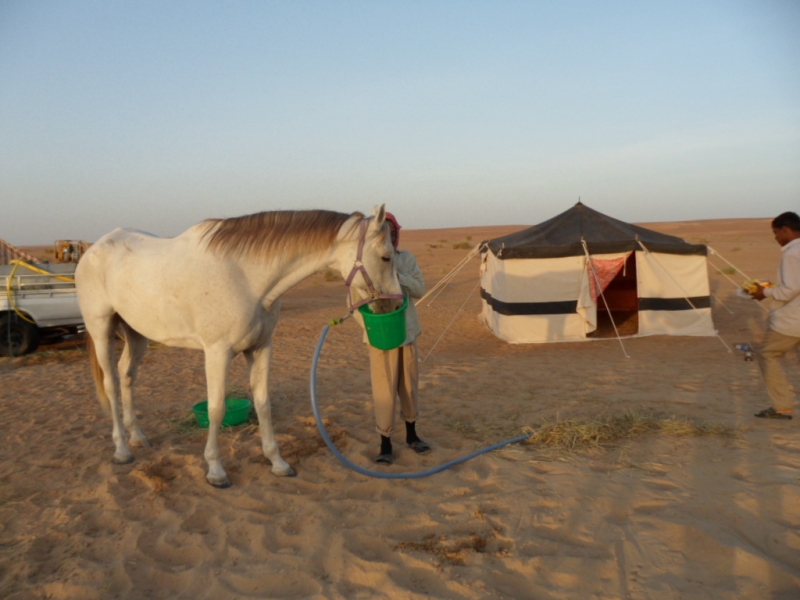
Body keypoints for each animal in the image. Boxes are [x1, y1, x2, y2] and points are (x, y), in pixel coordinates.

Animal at [76, 206, 400, 488]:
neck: (246, 276)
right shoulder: (217, 353)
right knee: (111, 383)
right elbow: (216, 408)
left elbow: (263, 403)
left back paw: (137, 436)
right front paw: (215, 470)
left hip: (137, 334)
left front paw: (278, 462)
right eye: (386, 257)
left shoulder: (261, 348)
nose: (395, 305)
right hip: (101, 329)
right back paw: (122, 449)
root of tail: (92, 250)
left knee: (127, 376)